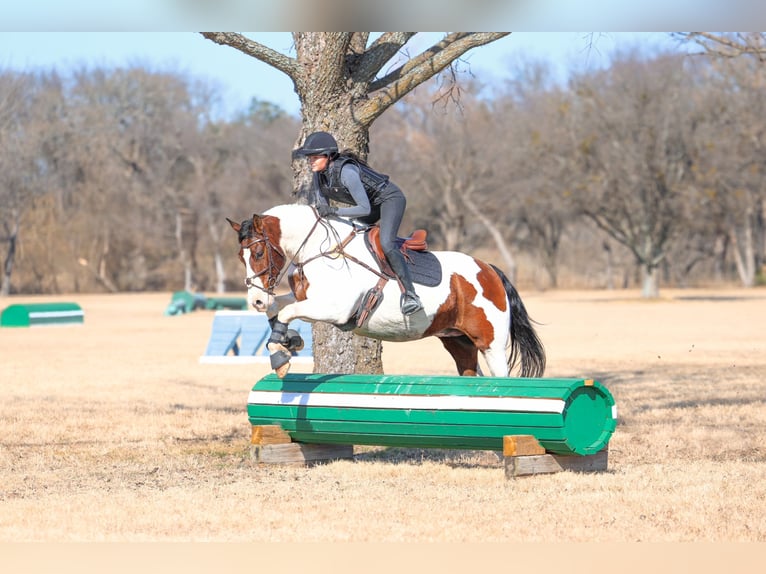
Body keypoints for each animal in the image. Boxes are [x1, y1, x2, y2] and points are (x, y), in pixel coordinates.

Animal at [227, 203, 545, 379]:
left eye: (258, 253)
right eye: (240, 257)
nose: (255, 300)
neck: (321, 249)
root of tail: (489, 270)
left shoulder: (334, 308)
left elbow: (288, 312)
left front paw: (281, 355)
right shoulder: (307, 297)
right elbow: (279, 308)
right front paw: (286, 341)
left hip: (491, 343)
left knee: (500, 378)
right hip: (457, 341)